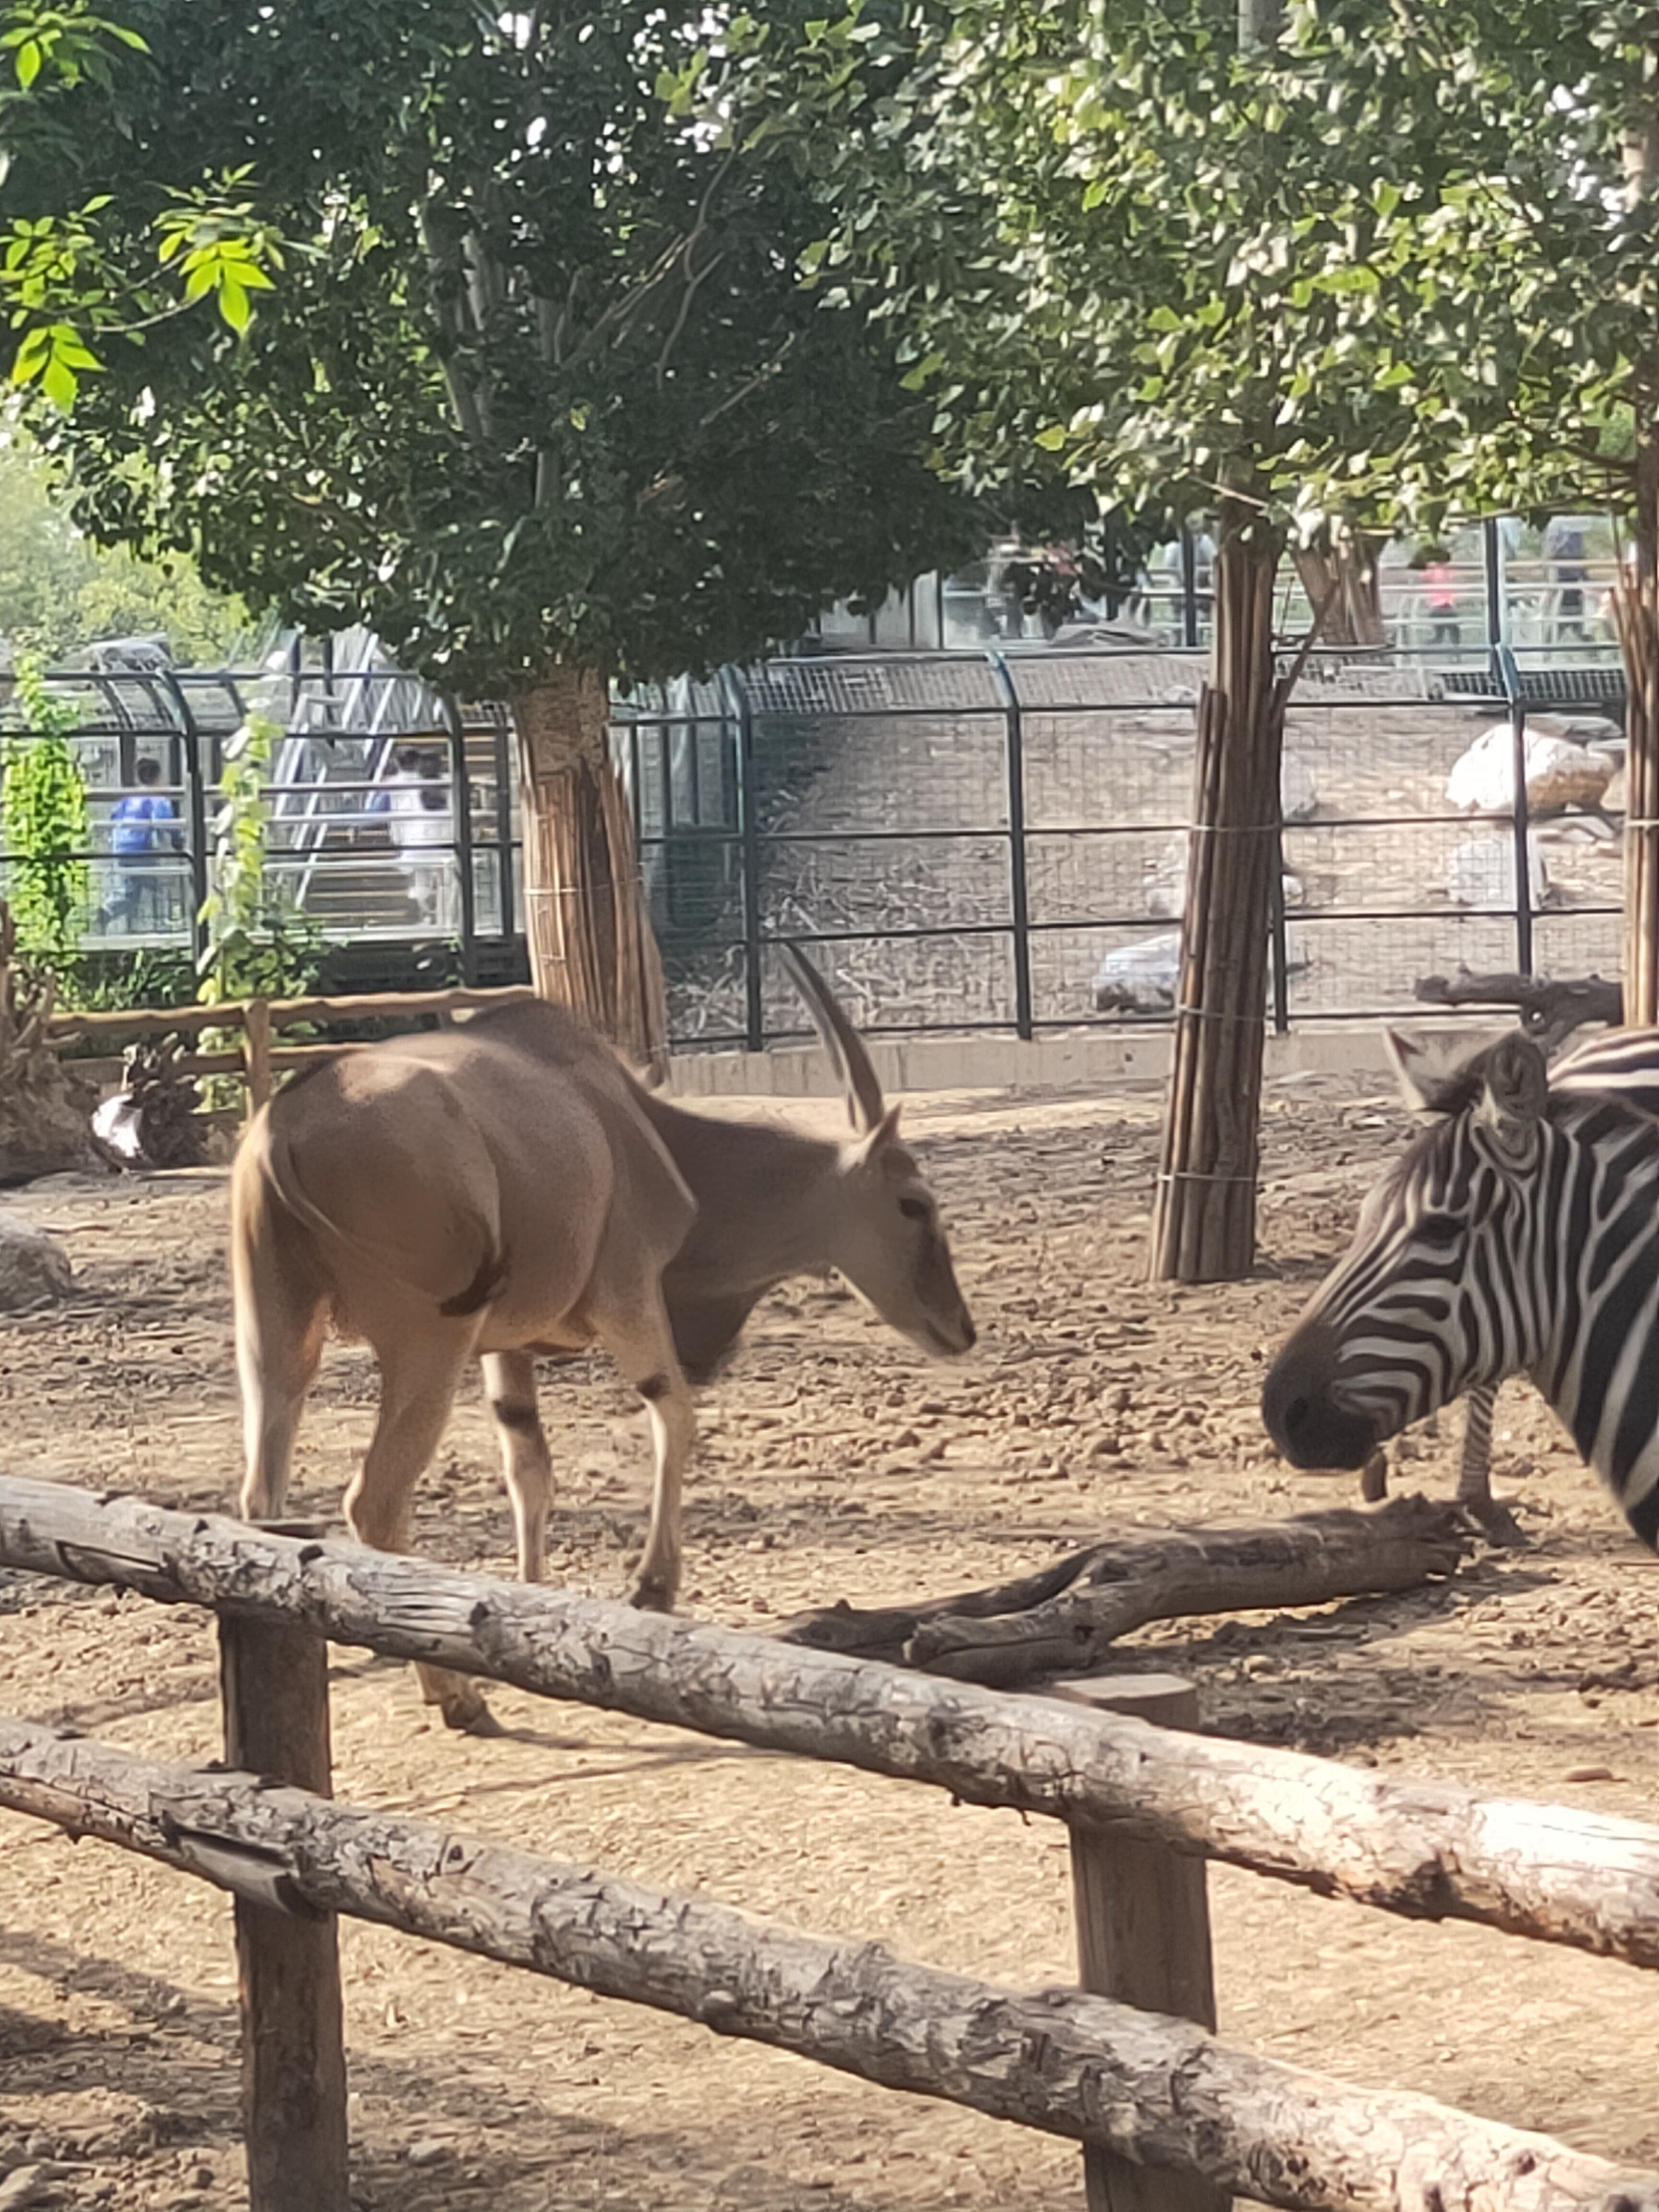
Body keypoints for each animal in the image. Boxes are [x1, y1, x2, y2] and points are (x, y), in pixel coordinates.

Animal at [231, 951, 973, 1725]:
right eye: (914, 1204)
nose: (961, 1328)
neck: (641, 1127)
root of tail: (285, 1124)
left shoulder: (506, 1347)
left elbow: (530, 1467)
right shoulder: (628, 1295)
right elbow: (674, 1412)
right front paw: (652, 1587)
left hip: (277, 1338)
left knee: (262, 1497)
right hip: (428, 1341)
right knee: (374, 1499)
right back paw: (455, 1697)